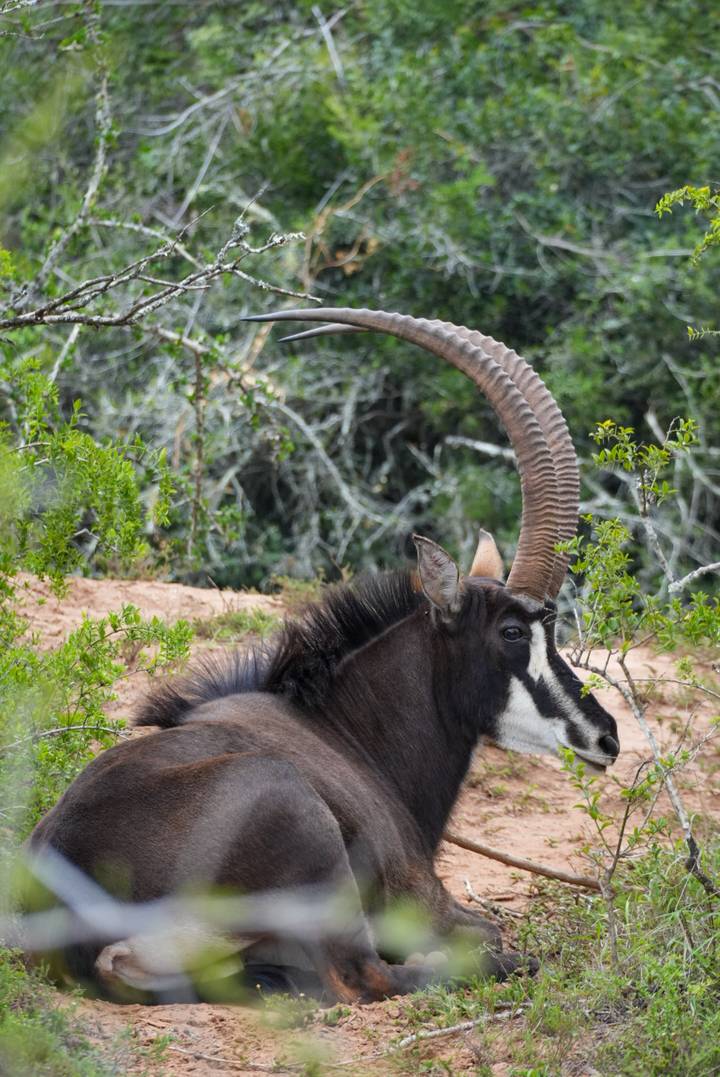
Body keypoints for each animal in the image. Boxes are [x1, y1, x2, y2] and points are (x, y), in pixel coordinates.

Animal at [28, 308, 619, 1004]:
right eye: (511, 631)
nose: (606, 737)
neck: (346, 728)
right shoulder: (427, 900)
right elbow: (487, 932)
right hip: (303, 827)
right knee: (366, 976)